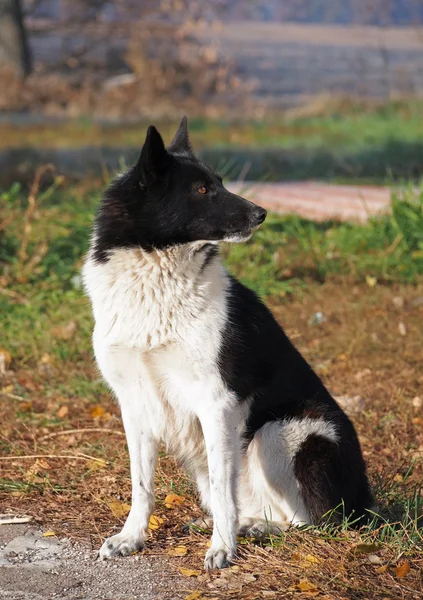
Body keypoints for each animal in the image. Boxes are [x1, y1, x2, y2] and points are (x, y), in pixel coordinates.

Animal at [83, 116, 374, 568]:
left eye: (219, 183)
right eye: (202, 190)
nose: (262, 213)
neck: (158, 273)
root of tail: (365, 501)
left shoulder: (216, 403)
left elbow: (223, 488)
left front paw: (222, 547)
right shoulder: (134, 405)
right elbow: (141, 484)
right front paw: (131, 538)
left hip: (280, 432)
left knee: (313, 521)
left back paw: (252, 529)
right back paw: (242, 523)